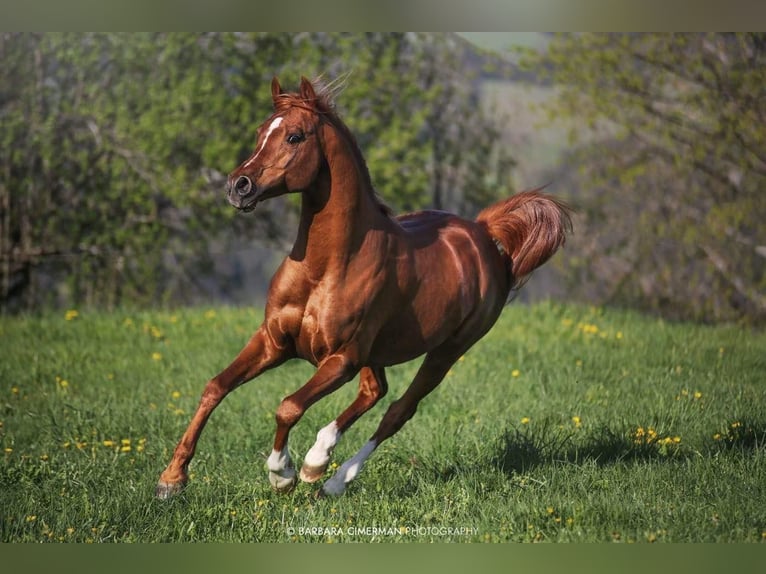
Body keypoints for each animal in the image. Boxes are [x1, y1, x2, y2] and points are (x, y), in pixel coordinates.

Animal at [154, 76, 568, 500]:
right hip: (379, 351)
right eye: (259, 132)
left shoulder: (342, 359)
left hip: (447, 351)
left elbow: (288, 406)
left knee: (398, 410)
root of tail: (484, 233)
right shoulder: (273, 341)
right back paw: (319, 460)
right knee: (375, 390)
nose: (238, 186)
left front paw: (282, 473)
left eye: (294, 136)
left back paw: (328, 477)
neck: (325, 268)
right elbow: (215, 387)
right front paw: (171, 480)